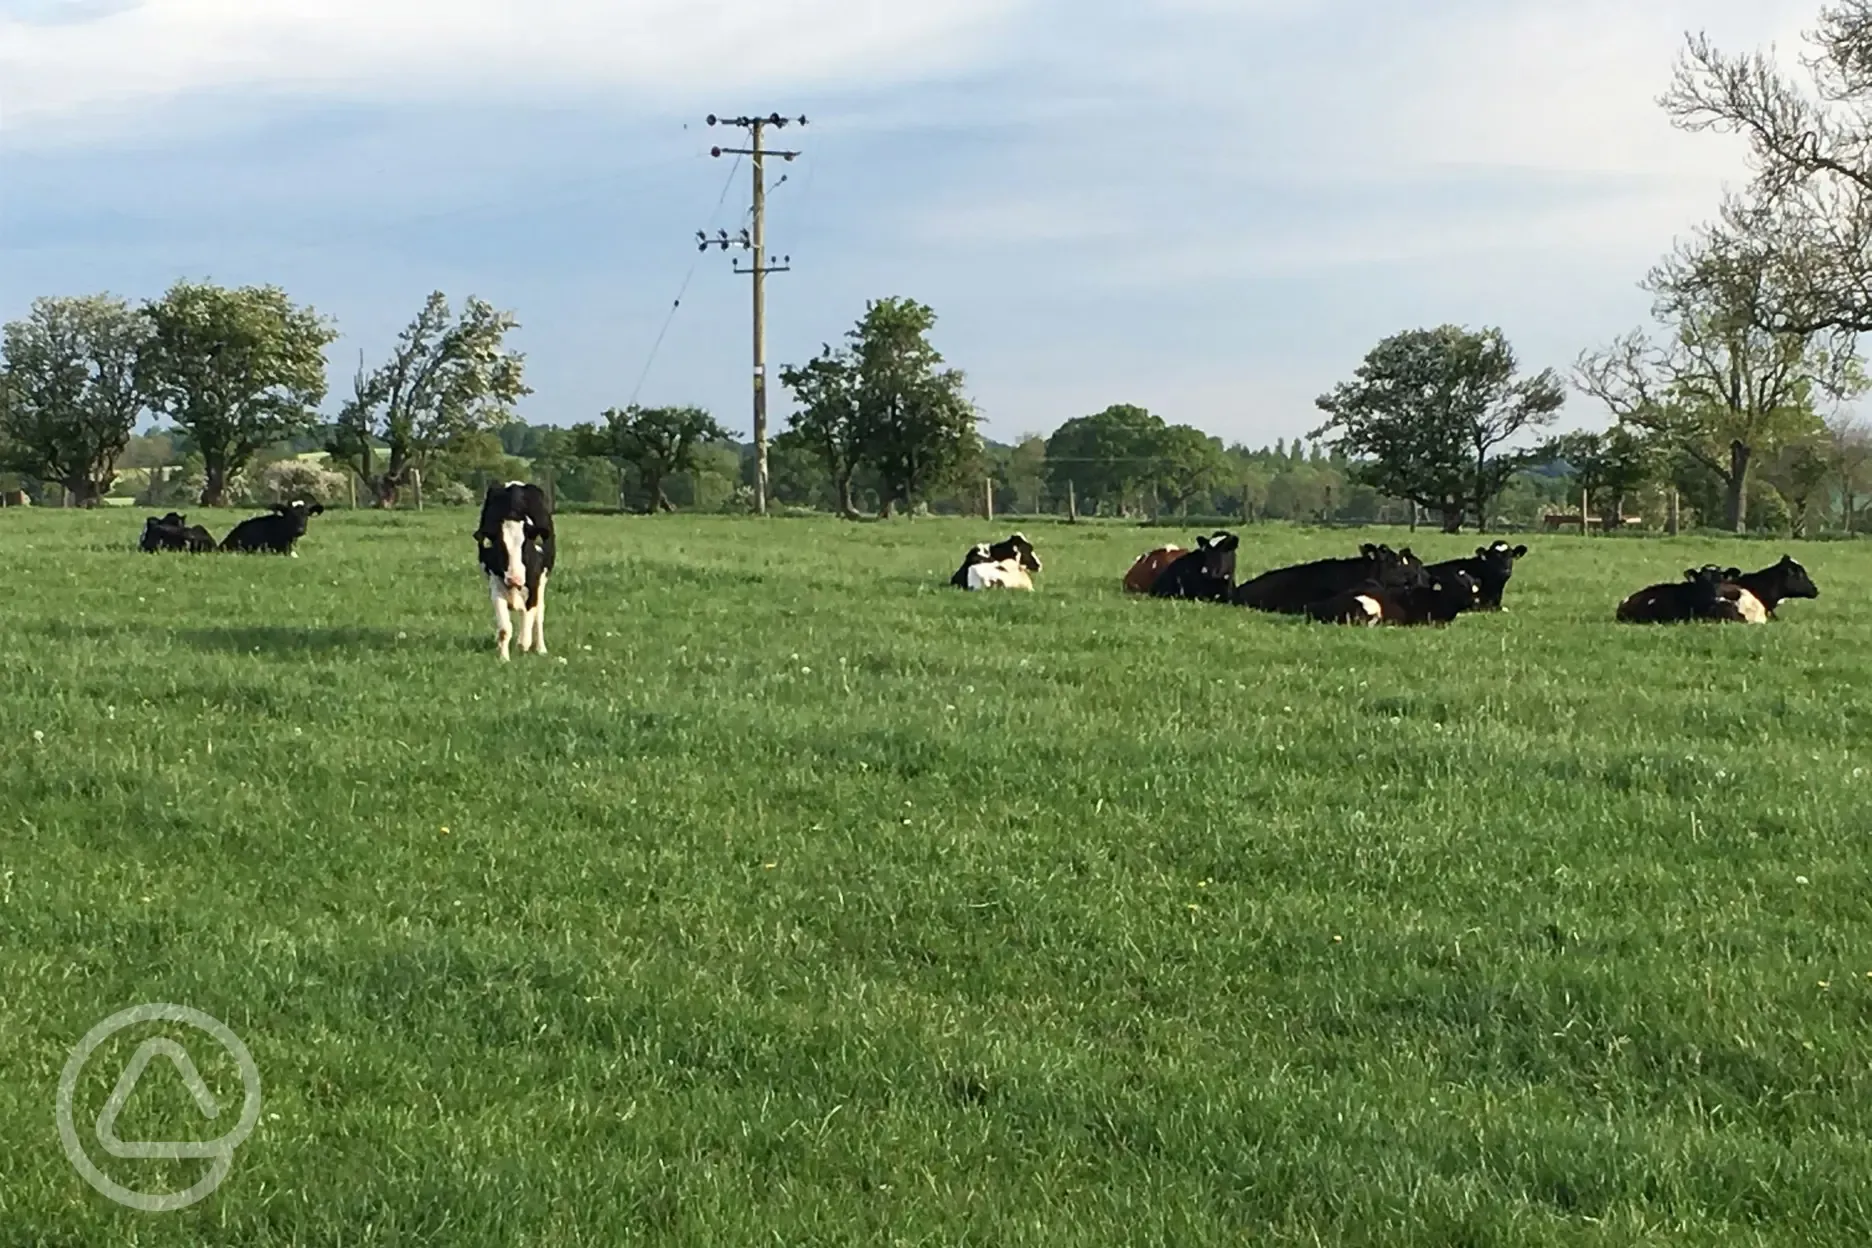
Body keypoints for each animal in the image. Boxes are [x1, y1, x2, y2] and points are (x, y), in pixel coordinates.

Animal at [475, 478, 554, 658]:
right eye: (500, 547)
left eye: (525, 546)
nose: (514, 579)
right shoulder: (496, 585)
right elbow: (504, 628)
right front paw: (503, 658)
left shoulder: (534, 585)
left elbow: (529, 617)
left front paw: (523, 644)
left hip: (542, 582)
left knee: (539, 614)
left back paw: (540, 648)